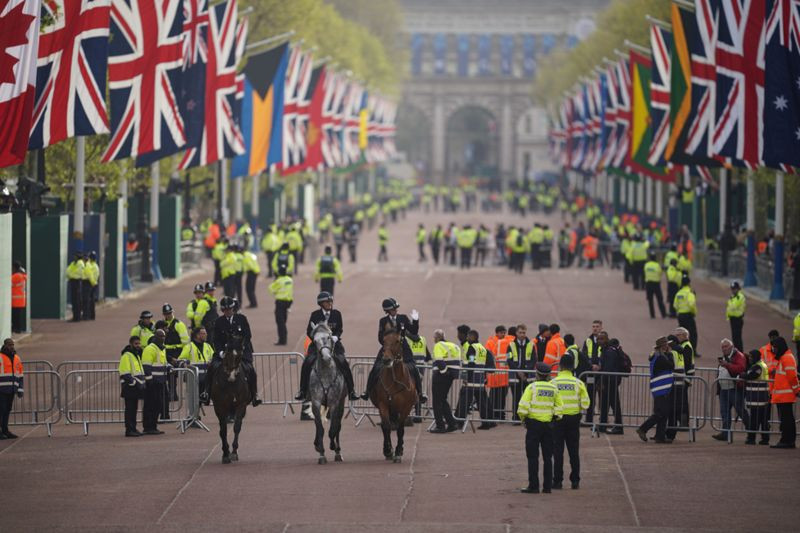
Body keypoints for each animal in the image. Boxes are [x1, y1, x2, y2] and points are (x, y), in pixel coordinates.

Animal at [308, 322, 346, 464]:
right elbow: (320, 428)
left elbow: (333, 428)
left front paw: (333, 446)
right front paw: (321, 452)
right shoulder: (316, 403)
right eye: (314, 340)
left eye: (329, 337)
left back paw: (338, 451)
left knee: (338, 425)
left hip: (341, 403)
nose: (326, 357)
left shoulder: (334, 403)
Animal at [370, 324, 418, 462]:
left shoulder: (406, 407)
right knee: (387, 426)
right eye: (384, 341)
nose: (386, 360)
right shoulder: (383, 405)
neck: (395, 380)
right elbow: (386, 426)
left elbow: (401, 428)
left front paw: (398, 451)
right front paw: (388, 450)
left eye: (397, 341)